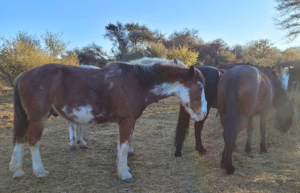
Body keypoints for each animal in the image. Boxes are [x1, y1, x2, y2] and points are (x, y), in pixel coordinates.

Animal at [8, 58, 206, 182]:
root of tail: (24, 75)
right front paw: (125, 174)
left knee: (20, 139)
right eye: (199, 87)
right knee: (33, 141)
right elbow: (124, 146)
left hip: (29, 119)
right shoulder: (126, 121)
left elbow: (121, 146)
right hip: (38, 118)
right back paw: (40, 171)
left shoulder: (128, 121)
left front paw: (121, 170)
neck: (136, 83)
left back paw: (17, 171)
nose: (202, 114)